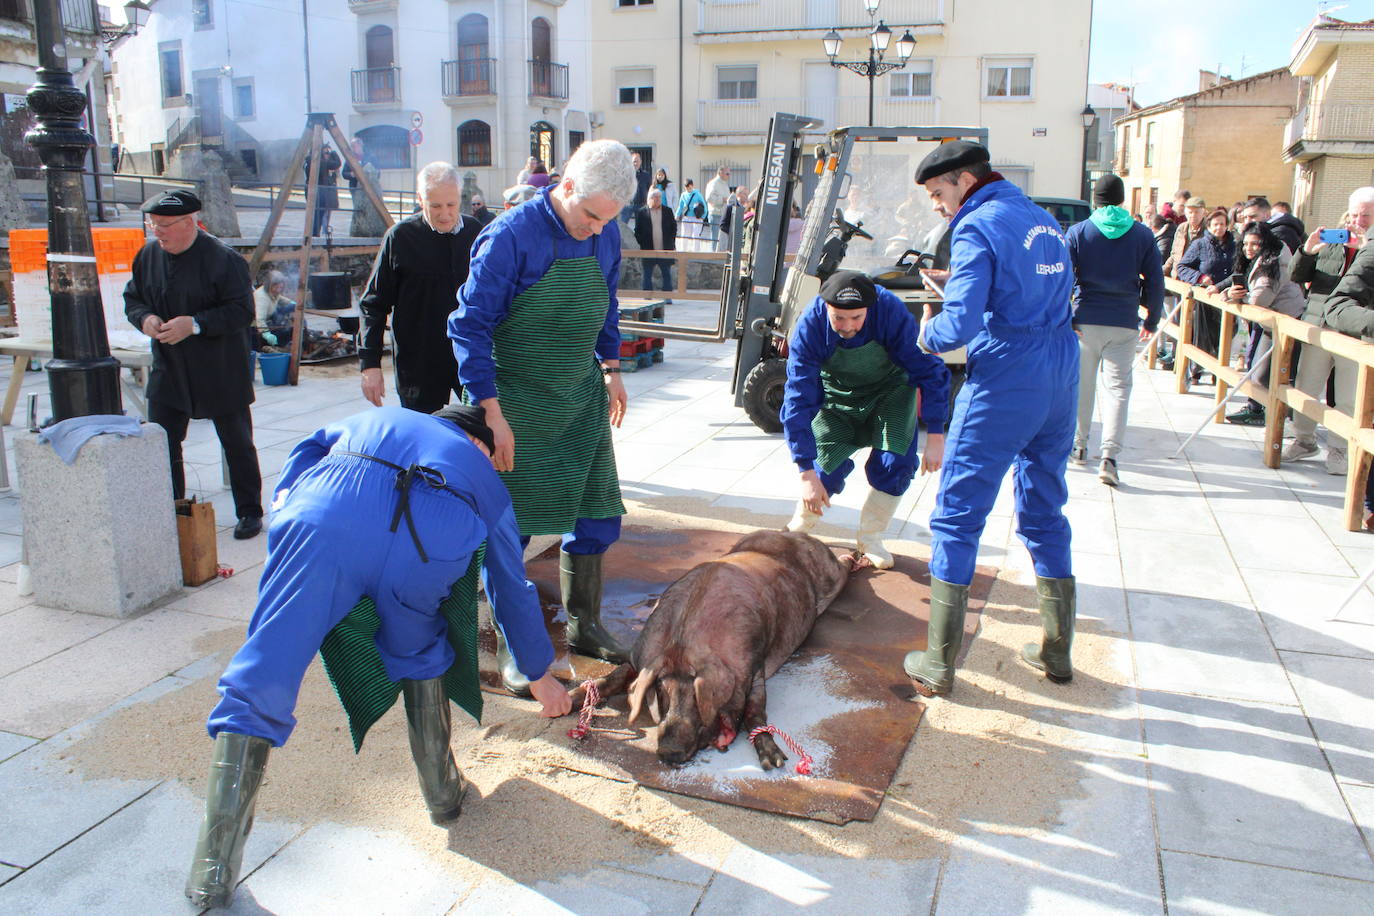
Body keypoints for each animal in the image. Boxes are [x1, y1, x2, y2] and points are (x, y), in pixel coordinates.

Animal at [568, 530, 857, 774]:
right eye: (660, 692)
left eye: (697, 699)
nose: (669, 751)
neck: (683, 644)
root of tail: (793, 533)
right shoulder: (639, 659)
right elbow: (611, 678)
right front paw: (568, 701)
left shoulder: (755, 663)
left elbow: (755, 710)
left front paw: (774, 762)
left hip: (830, 572)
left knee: (844, 566)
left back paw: (857, 556)